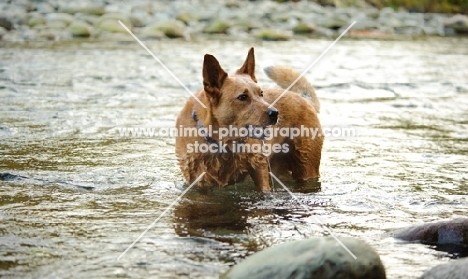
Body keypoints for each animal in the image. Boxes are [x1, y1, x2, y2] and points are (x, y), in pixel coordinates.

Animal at [176, 47, 322, 192]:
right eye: (243, 97)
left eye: (261, 93)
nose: (275, 113)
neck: (223, 144)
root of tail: (304, 99)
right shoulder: (197, 181)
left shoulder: (259, 164)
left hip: (306, 165)